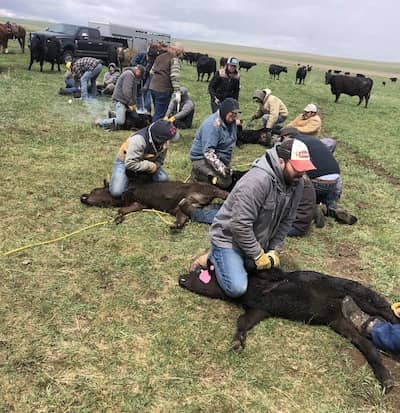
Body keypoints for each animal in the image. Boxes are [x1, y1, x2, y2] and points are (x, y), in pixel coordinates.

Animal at [81, 179, 228, 229]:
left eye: (94, 190)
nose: (83, 198)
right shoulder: (139, 204)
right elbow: (121, 210)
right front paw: (118, 219)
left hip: (208, 189)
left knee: (222, 192)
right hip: (179, 209)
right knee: (183, 218)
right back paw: (175, 225)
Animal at [180, 262, 398, 392]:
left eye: (199, 272)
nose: (180, 278)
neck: (252, 289)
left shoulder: (270, 278)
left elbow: (272, 271)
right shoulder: (258, 310)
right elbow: (242, 321)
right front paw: (236, 343)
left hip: (363, 296)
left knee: (387, 311)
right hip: (341, 323)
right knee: (367, 344)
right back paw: (386, 380)